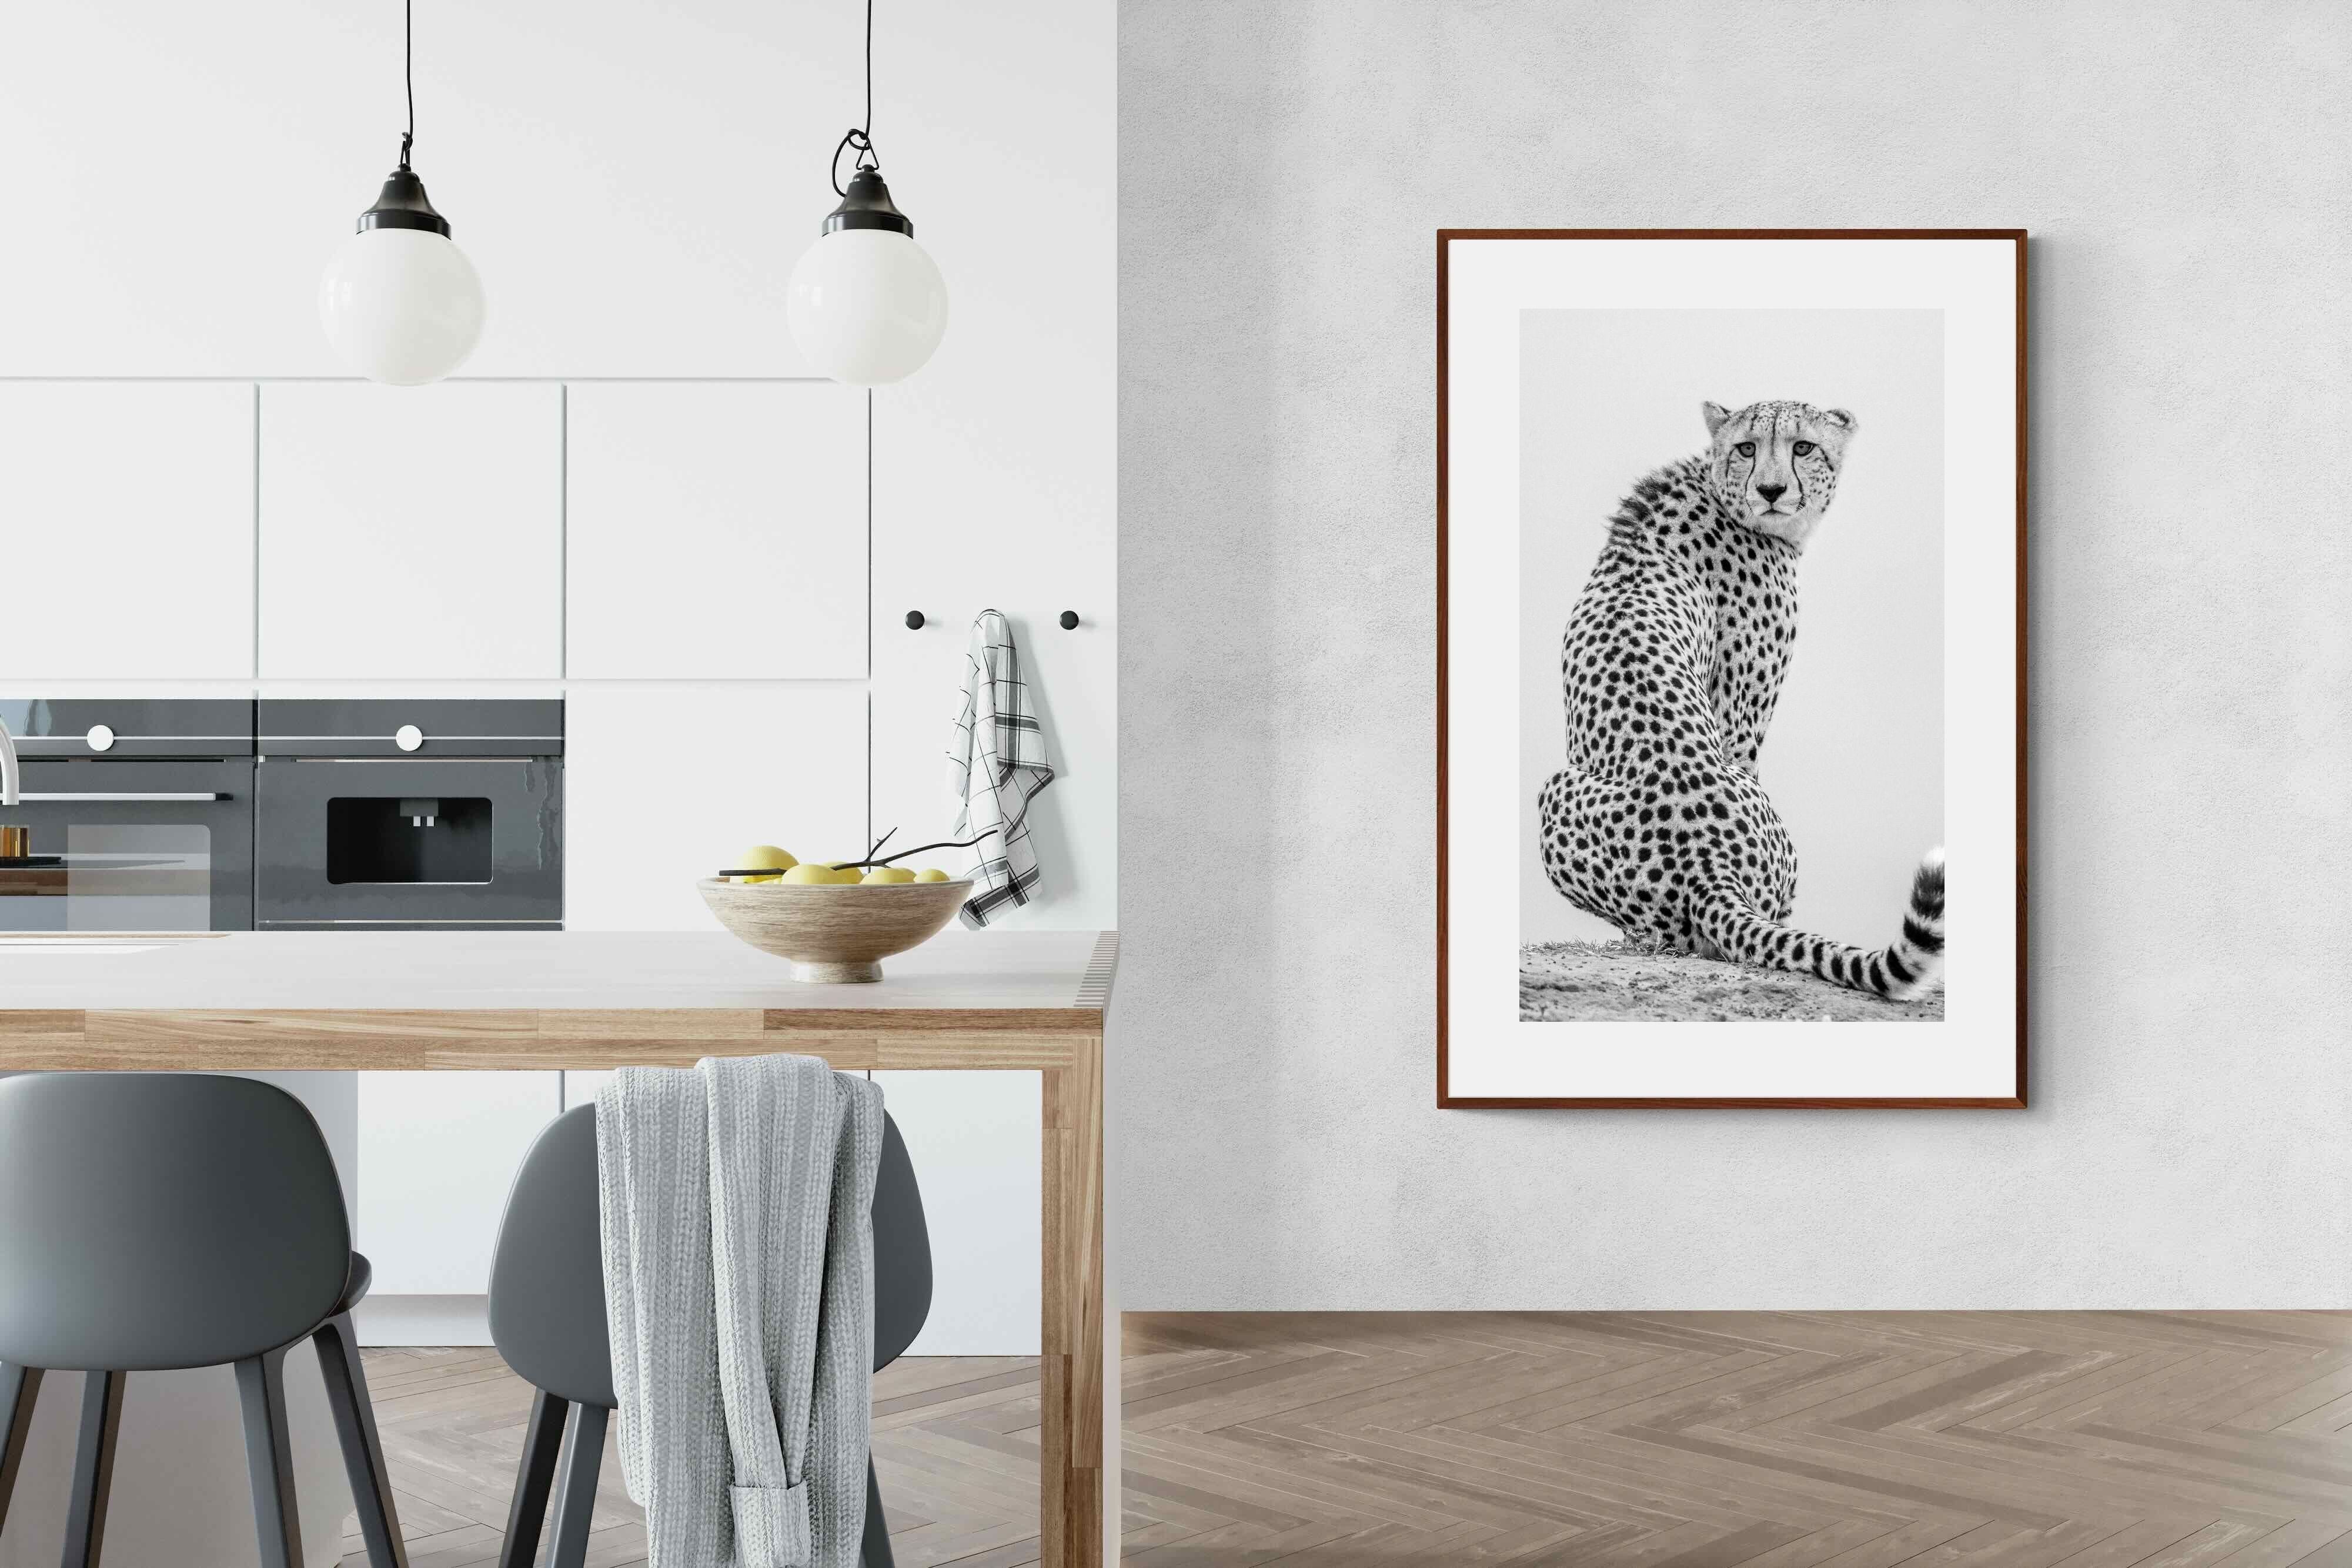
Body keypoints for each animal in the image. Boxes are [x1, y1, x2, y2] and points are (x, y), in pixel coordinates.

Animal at [1533, 398, 1944, 1002]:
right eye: (1747, 447)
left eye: (1803, 446)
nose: (1772, 490)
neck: (1716, 487)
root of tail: (1708, 867)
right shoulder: (1741, 716)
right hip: (1558, 789)